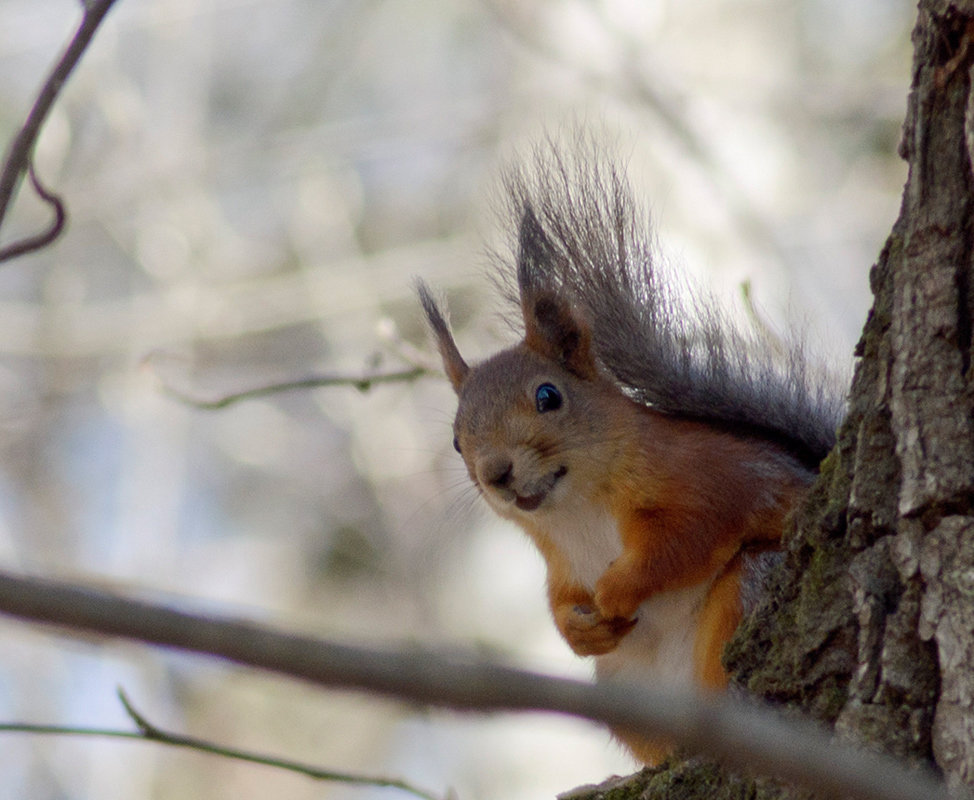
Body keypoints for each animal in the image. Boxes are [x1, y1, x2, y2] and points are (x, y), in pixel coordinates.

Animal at [420, 142, 848, 764]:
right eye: (456, 439)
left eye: (548, 396)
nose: (495, 472)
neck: (577, 509)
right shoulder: (559, 562)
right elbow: (561, 602)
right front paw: (580, 626)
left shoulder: (709, 478)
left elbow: (686, 537)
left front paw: (618, 588)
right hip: (624, 691)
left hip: (750, 588)